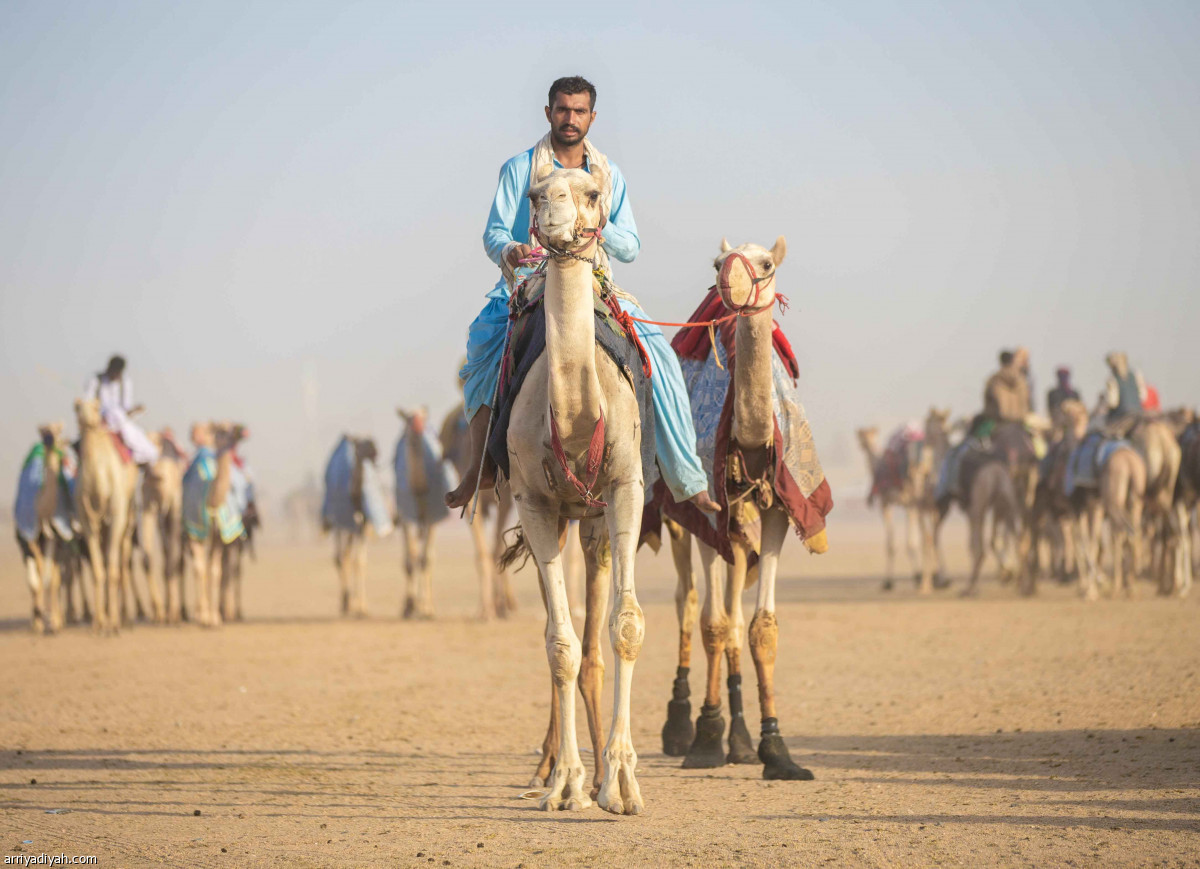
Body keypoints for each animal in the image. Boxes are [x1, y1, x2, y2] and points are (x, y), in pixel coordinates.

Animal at [72, 396, 137, 633]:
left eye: (95, 406)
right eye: (76, 407)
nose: (86, 416)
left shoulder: (117, 516)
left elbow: (113, 569)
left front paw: (113, 624)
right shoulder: (87, 521)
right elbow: (98, 569)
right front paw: (99, 623)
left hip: (128, 518)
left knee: (123, 563)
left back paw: (125, 617)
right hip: (101, 526)